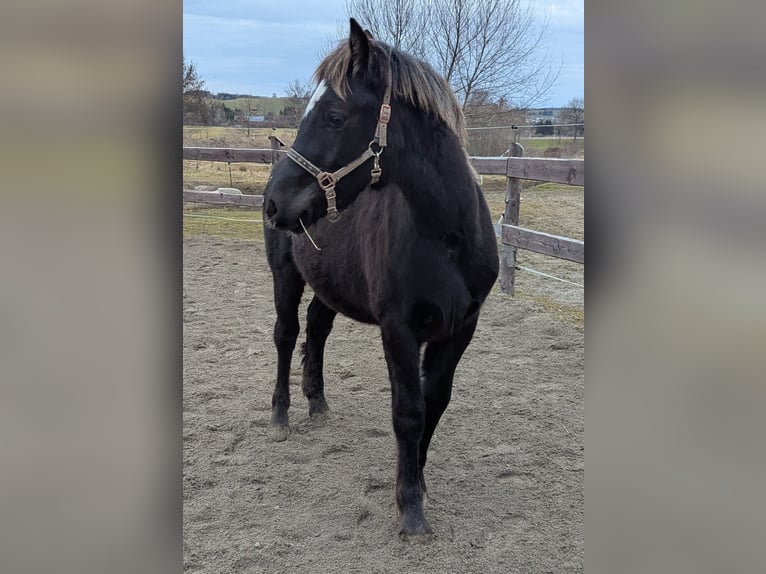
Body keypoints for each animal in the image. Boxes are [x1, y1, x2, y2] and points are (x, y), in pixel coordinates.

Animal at [262, 18, 499, 540]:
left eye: (334, 117)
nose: (273, 203)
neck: (447, 239)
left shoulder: (461, 328)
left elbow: (435, 403)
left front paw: (419, 482)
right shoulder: (399, 329)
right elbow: (408, 412)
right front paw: (409, 507)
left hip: (329, 284)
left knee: (316, 329)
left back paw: (317, 402)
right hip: (284, 275)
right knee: (287, 334)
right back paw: (281, 415)